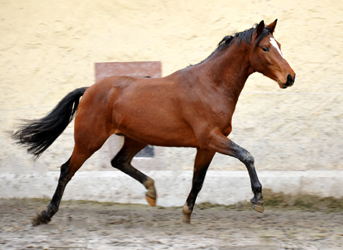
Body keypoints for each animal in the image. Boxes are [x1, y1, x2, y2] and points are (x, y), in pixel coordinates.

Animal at [11, 20, 296, 227]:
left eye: (280, 44)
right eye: (265, 48)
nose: (290, 77)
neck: (210, 85)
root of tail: (89, 89)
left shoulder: (206, 146)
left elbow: (198, 180)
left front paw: (186, 213)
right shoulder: (211, 138)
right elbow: (247, 156)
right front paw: (258, 199)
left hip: (136, 138)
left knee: (119, 161)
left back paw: (151, 192)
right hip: (89, 140)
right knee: (66, 170)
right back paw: (45, 215)